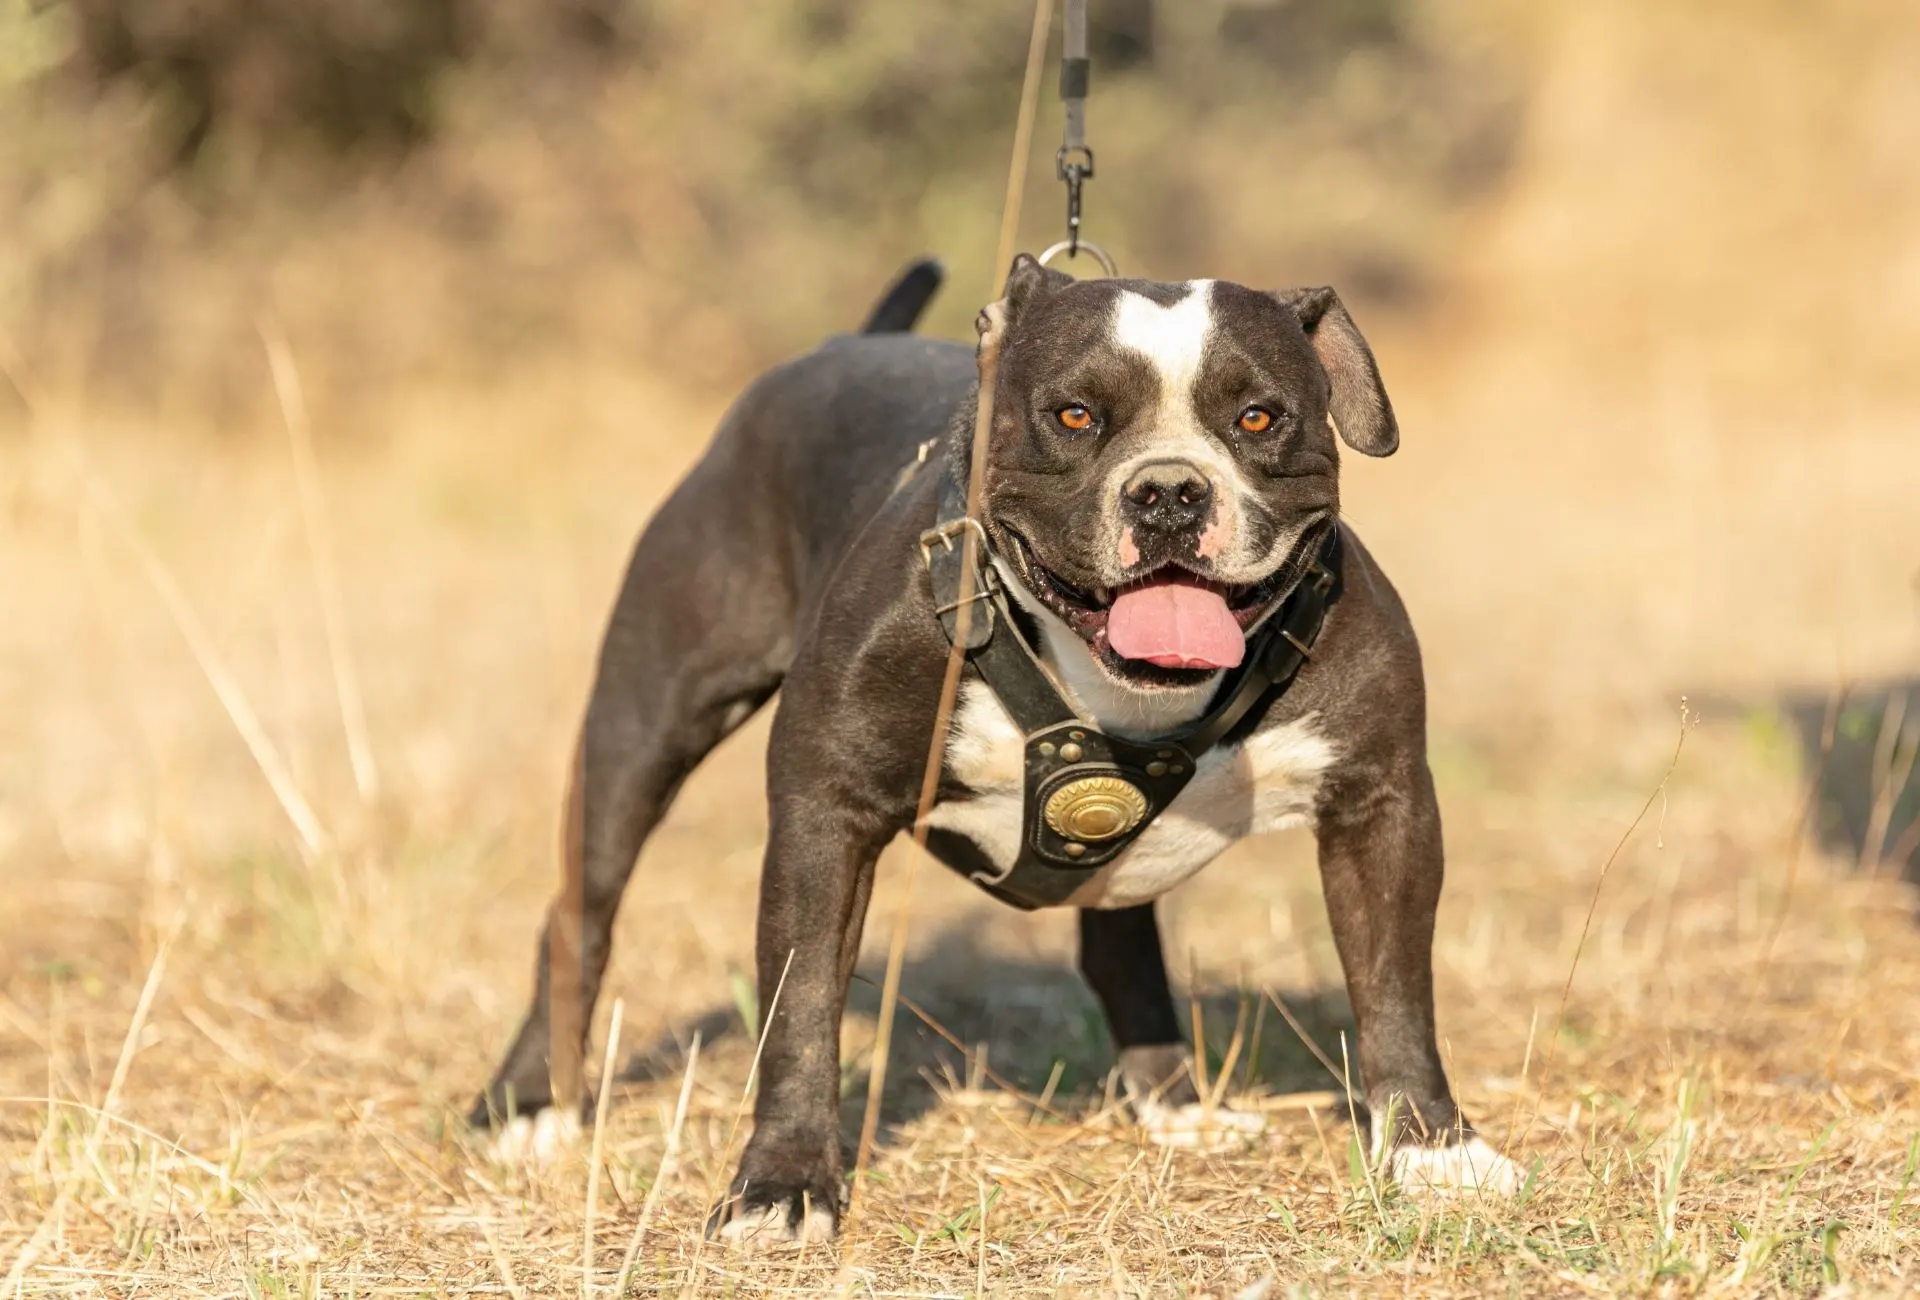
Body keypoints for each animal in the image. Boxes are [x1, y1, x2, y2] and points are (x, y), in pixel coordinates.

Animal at [472, 251, 1520, 1236]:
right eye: (1073, 415)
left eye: (1260, 418)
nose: (1170, 492)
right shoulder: (826, 812)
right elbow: (802, 1007)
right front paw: (782, 1188)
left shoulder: (1382, 806)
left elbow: (1395, 988)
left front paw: (1434, 1151)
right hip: (639, 729)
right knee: (580, 912)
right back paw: (530, 1103)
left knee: (1120, 946)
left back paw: (1175, 1107)